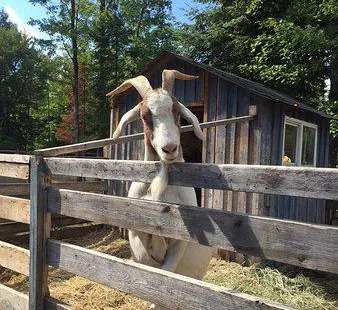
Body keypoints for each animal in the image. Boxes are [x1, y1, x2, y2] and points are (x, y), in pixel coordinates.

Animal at [108, 70, 213, 310]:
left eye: (177, 111)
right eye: (145, 115)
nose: (169, 149)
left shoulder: (180, 241)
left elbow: (166, 275)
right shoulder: (135, 233)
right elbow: (149, 266)